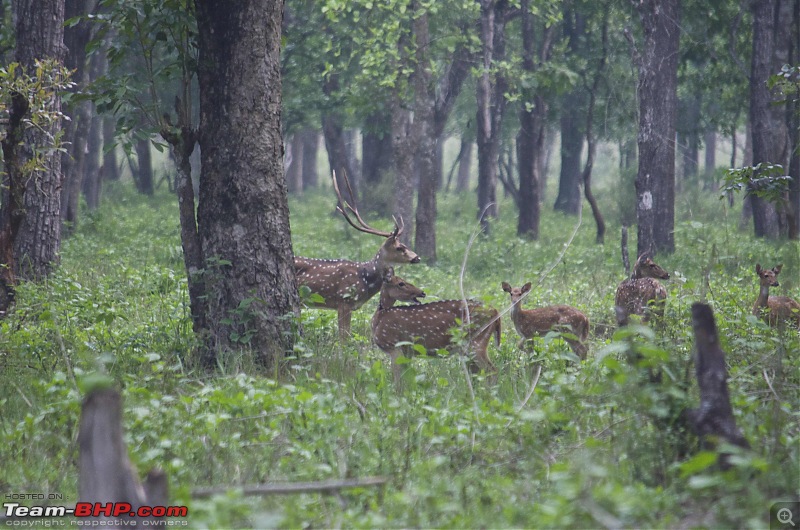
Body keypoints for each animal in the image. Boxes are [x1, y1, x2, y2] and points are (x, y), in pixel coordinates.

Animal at [292, 173, 418, 338]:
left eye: (404, 245)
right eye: (399, 247)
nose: (417, 257)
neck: (366, 279)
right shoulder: (343, 300)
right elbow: (344, 336)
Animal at [370, 270, 500, 382]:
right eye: (401, 283)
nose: (422, 292)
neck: (379, 319)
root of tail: (496, 312)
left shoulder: (393, 346)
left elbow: (398, 381)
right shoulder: (406, 351)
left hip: (476, 341)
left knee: (492, 371)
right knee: (478, 374)